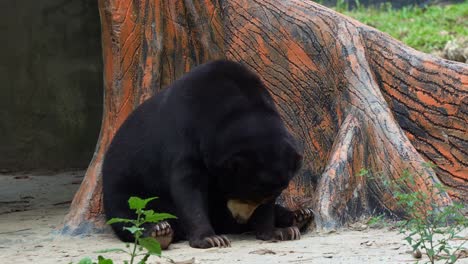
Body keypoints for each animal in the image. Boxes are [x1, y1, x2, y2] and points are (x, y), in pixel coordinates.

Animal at [103, 58, 314, 249]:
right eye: (242, 191)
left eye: (254, 194)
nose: (241, 218)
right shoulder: (184, 135)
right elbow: (188, 187)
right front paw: (211, 239)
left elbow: (269, 203)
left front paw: (276, 232)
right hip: (126, 184)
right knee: (127, 213)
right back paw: (159, 232)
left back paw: (299, 217)